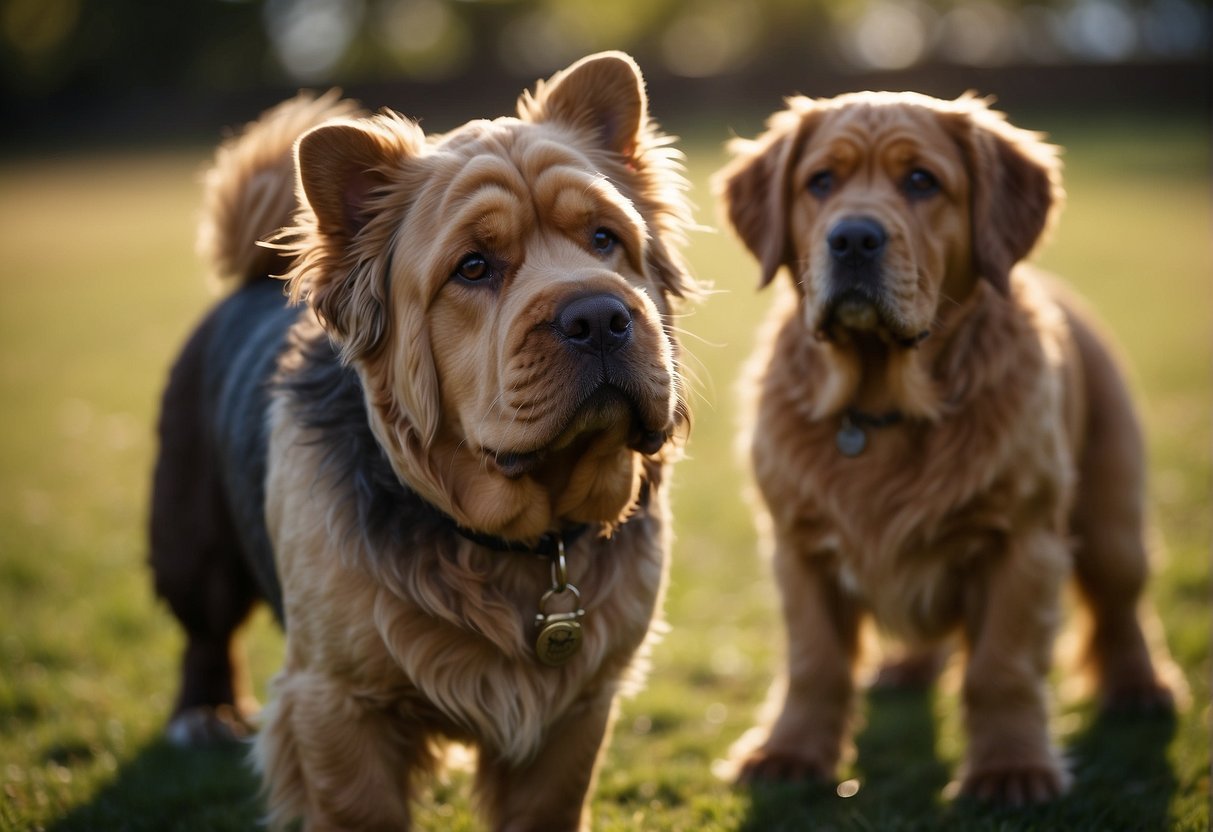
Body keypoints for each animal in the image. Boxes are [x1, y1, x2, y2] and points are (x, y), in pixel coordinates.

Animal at [151, 53, 698, 832]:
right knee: (205, 631)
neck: (516, 541)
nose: (598, 315)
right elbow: (359, 810)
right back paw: (202, 715)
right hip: (191, 546)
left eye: (604, 240)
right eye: (473, 267)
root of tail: (251, 280)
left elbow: (548, 806)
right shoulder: (337, 705)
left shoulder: (578, 710)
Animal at [713, 92, 1179, 810]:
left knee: (1121, 608)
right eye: (819, 181)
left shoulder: (1022, 540)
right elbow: (815, 662)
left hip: (1111, 520)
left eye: (920, 181)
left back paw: (1138, 687)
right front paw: (788, 752)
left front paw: (1010, 767)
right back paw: (903, 667)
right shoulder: (797, 545)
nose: (852, 238)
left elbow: (999, 667)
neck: (883, 406)